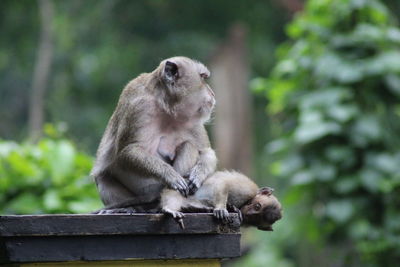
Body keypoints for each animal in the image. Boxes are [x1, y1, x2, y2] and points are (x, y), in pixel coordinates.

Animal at [91, 56, 216, 214]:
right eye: (203, 77)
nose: (212, 93)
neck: (167, 107)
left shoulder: (193, 120)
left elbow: (206, 151)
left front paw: (198, 174)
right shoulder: (139, 108)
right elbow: (128, 151)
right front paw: (170, 175)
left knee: (189, 146)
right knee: (103, 177)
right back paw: (131, 207)